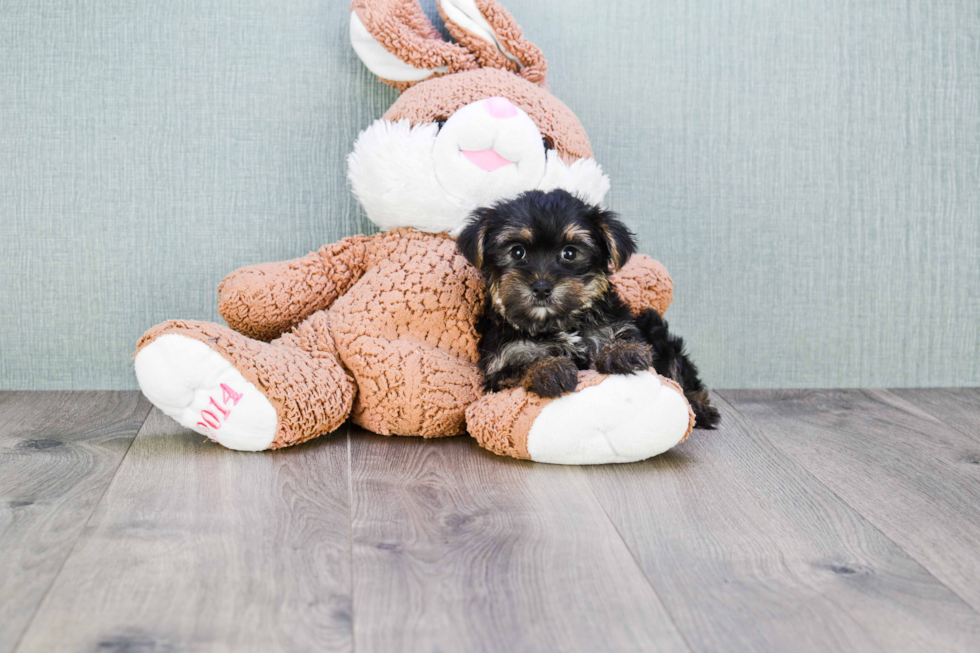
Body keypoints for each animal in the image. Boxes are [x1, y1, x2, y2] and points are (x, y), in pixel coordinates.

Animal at [460, 188, 720, 430]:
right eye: (517, 252)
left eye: (569, 253)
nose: (542, 287)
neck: (559, 323)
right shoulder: (501, 363)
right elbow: (521, 366)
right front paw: (549, 368)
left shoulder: (616, 325)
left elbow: (623, 338)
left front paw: (622, 352)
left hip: (655, 329)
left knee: (679, 370)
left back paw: (700, 407)